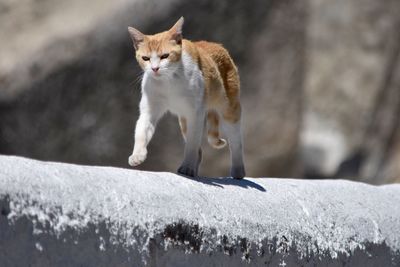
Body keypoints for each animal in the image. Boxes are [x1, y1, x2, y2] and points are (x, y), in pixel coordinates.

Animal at [126, 17, 245, 180]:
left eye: (165, 56)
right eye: (145, 58)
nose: (155, 69)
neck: (168, 82)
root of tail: (214, 44)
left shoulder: (195, 114)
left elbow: (192, 144)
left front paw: (188, 166)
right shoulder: (149, 110)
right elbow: (141, 132)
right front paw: (137, 155)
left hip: (229, 111)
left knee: (236, 143)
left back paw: (238, 171)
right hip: (184, 120)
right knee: (199, 150)